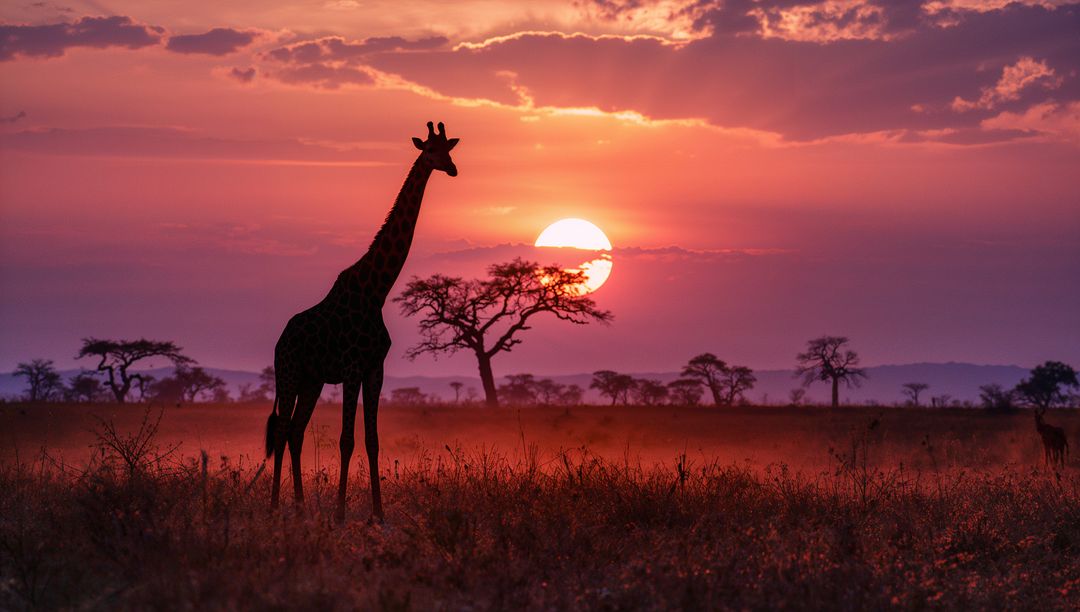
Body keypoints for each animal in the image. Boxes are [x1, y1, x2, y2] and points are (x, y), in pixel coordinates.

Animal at [265, 121, 459, 521]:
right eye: (430, 151)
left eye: (449, 149)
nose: (452, 169)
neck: (377, 291)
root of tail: (280, 340)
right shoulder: (353, 367)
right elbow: (346, 439)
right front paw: (340, 514)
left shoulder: (375, 369)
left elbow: (372, 441)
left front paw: (378, 514)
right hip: (288, 373)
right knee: (281, 430)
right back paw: (276, 507)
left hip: (311, 380)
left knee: (295, 431)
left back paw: (301, 506)